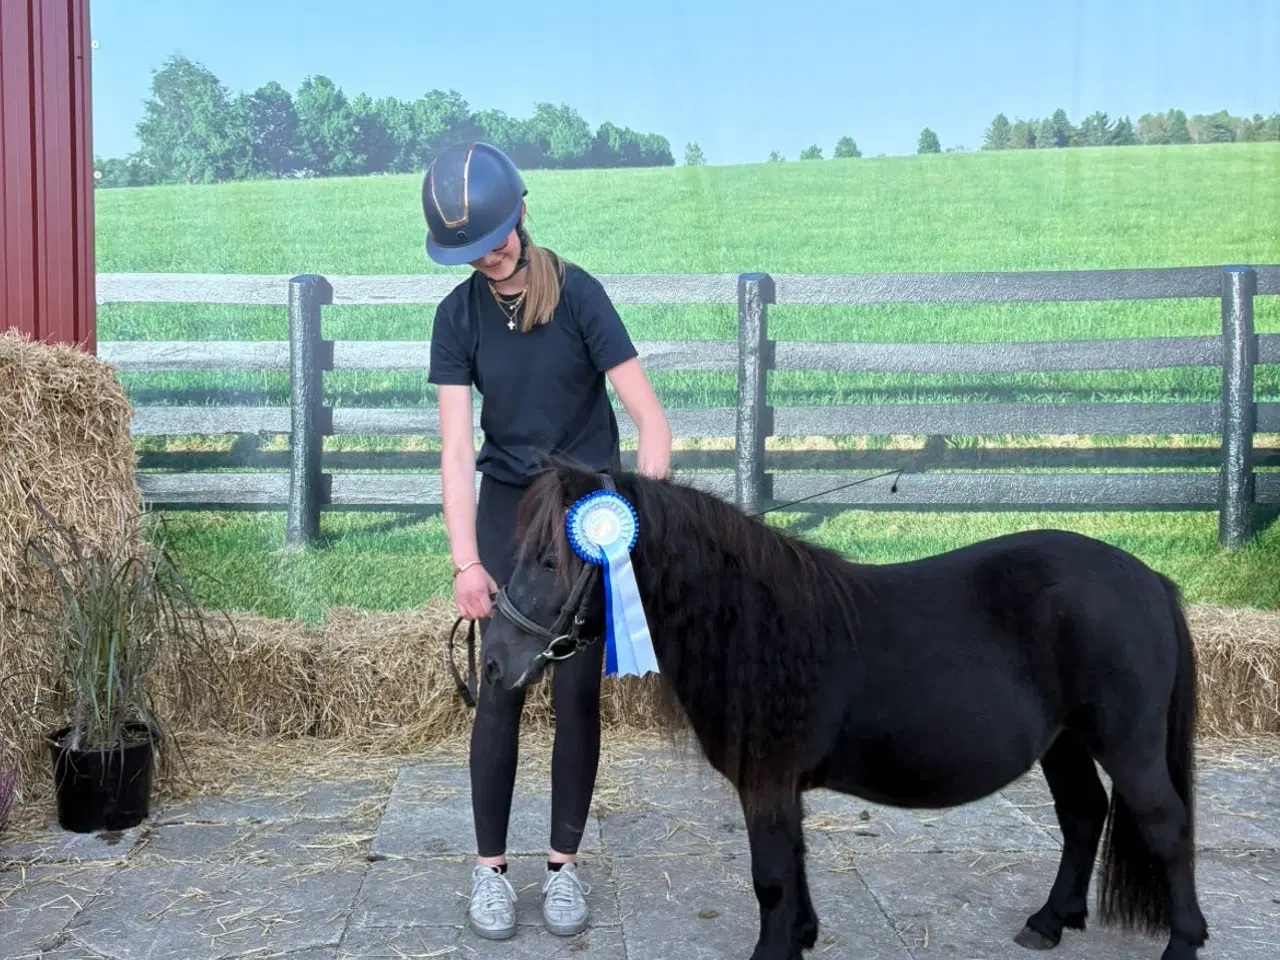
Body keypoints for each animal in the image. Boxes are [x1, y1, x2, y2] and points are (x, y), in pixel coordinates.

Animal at [479, 456, 1207, 960]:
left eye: (551, 560)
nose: (494, 663)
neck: (754, 624)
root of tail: (1150, 580)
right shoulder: (779, 785)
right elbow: (793, 865)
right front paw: (801, 935)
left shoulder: (767, 782)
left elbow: (772, 875)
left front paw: (775, 949)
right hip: (1065, 741)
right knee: (1083, 814)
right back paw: (1049, 922)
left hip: (1128, 743)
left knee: (1166, 825)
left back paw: (1182, 941)